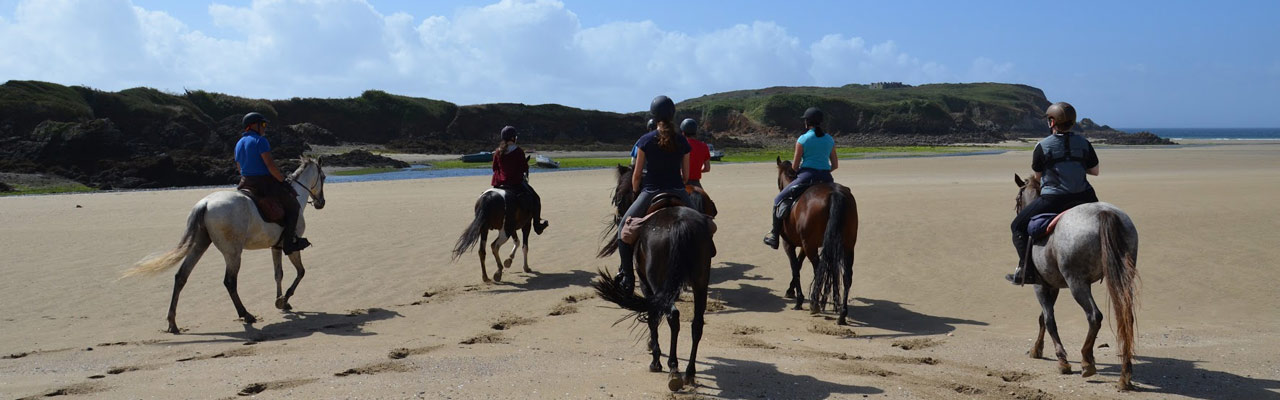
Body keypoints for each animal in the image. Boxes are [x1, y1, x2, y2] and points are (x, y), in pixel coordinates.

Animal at [128, 157, 327, 333]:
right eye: (324, 177)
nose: (321, 203)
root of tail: (205, 203)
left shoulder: (276, 247)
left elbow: (278, 274)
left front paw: (281, 301)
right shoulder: (291, 247)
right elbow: (300, 272)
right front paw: (284, 299)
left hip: (200, 245)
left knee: (181, 276)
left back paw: (173, 323)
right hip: (233, 253)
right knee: (229, 282)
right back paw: (246, 314)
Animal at [773, 157, 855, 325]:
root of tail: (835, 193)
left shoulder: (789, 244)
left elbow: (795, 267)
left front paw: (798, 300)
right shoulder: (805, 246)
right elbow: (799, 264)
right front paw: (790, 291)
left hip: (812, 247)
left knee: (819, 269)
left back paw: (815, 304)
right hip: (848, 246)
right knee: (846, 276)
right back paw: (841, 313)